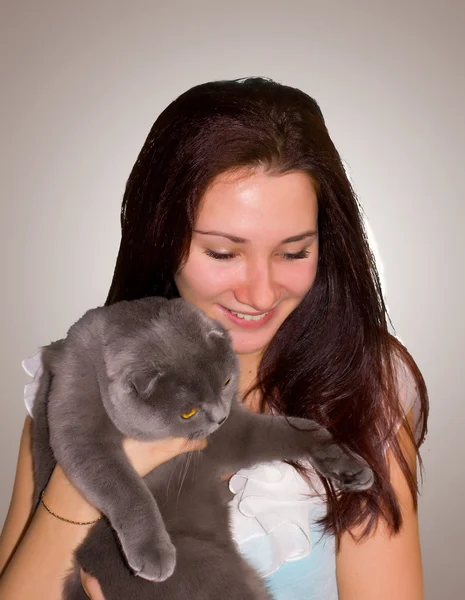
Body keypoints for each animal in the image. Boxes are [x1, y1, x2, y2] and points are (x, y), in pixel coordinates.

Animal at [31, 296, 374, 600]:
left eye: (226, 382)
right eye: (188, 412)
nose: (219, 416)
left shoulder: (232, 433)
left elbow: (297, 429)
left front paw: (348, 466)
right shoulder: (77, 420)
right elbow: (122, 485)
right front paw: (152, 552)